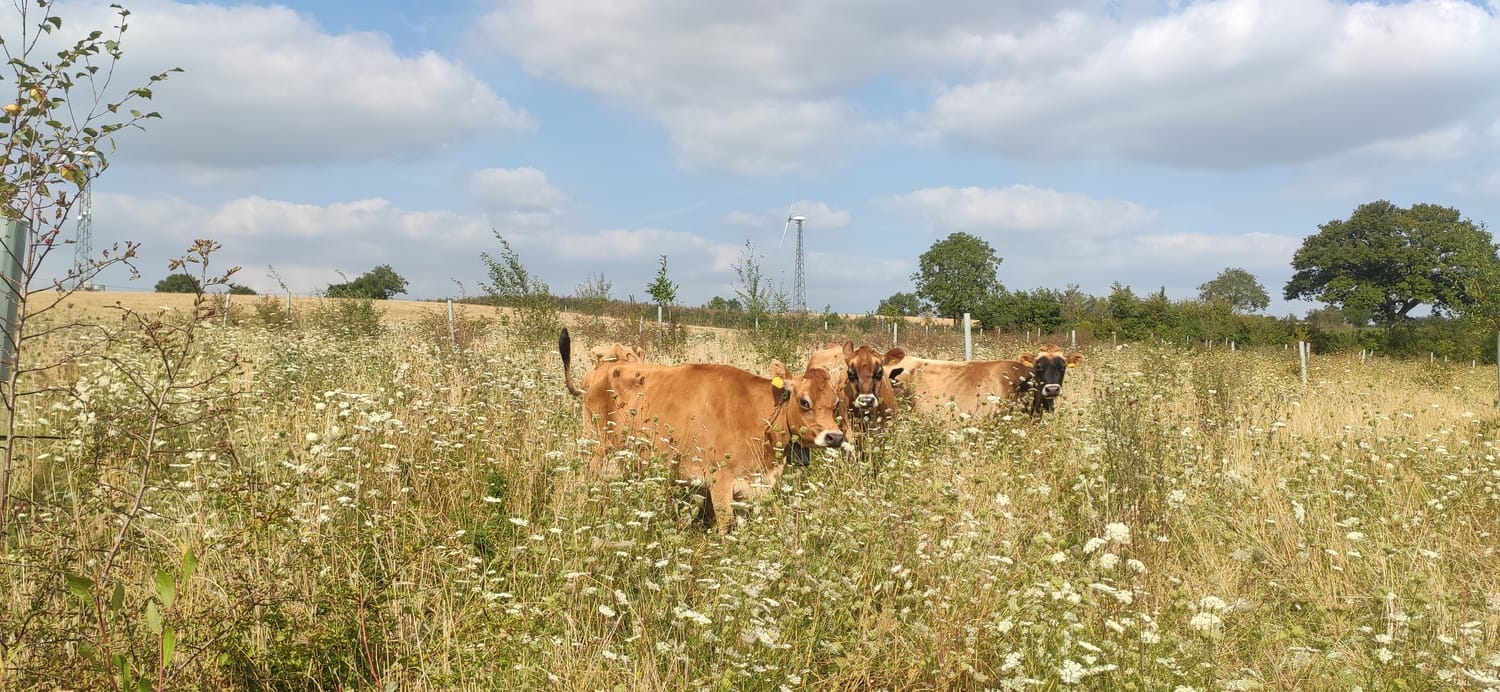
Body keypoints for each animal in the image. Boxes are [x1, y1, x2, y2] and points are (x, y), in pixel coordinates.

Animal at [559, 328, 845, 532]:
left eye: (835, 403)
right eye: (804, 402)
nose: (835, 437)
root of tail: (606, 366)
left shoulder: (750, 487)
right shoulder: (720, 480)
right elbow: (726, 528)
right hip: (595, 448)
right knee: (581, 480)